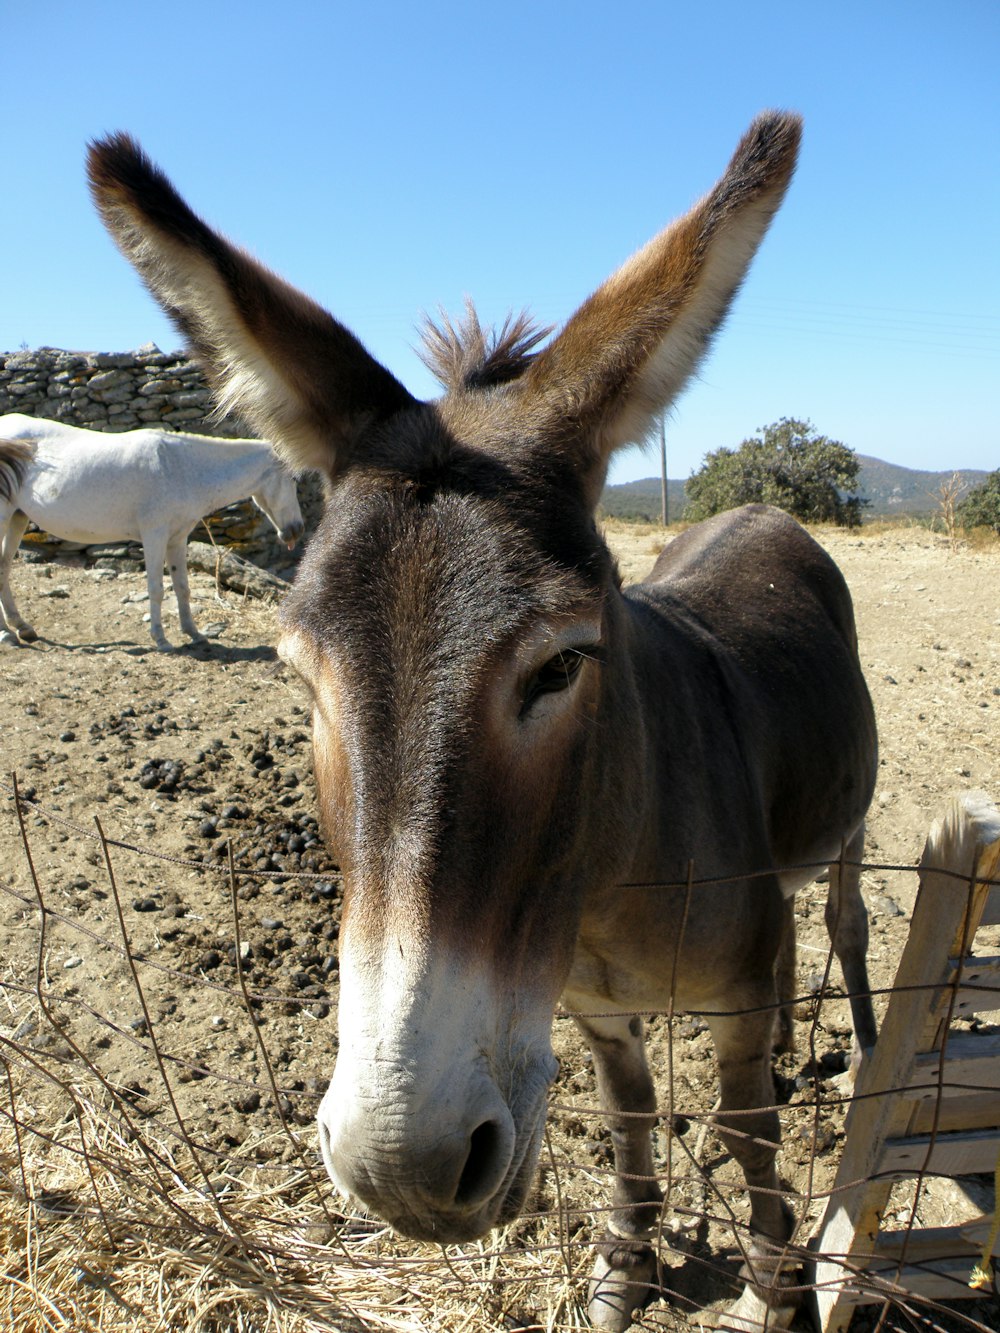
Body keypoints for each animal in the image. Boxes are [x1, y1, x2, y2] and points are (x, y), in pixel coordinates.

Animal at [0, 413, 305, 647]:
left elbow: (182, 587)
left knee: (4, 568)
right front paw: (161, 639)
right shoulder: (154, 536)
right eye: (293, 478)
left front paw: (194, 634)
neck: (179, 467)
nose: (297, 531)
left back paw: (21, 628)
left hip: (17, 518)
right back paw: (7, 634)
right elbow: (156, 588)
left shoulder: (178, 538)